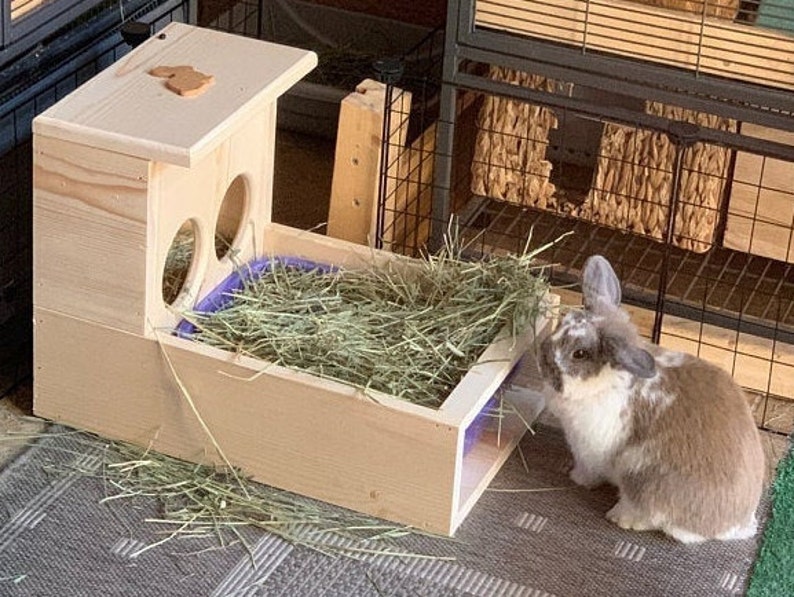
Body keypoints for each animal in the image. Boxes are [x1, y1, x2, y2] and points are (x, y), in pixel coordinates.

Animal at [536, 254, 764, 544]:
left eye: (580, 353)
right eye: (566, 318)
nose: (541, 358)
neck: (607, 380)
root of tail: (732, 525)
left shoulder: (590, 450)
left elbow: (589, 470)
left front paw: (576, 478)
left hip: (641, 478)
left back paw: (621, 517)